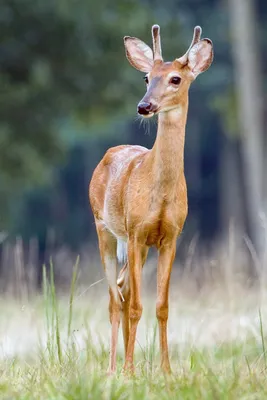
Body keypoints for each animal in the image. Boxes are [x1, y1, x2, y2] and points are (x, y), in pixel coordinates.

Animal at [89, 24, 214, 376]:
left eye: (176, 79)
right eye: (147, 78)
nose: (144, 106)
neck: (161, 196)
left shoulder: (169, 236)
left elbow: (161, 306)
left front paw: (166, 370)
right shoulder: (135, 231)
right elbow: (135, 306)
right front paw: (130, 371)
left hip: (136, 245)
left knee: (122, 288)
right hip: (105, 229)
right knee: (115, 299)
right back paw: (113, 368)